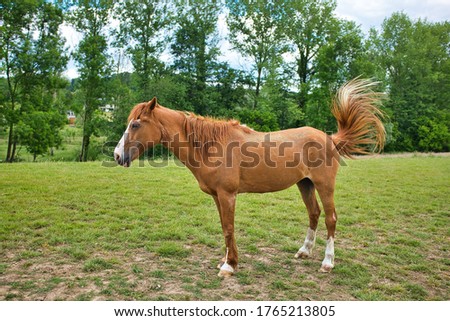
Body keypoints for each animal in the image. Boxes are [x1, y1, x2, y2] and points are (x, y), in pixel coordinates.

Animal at [114, 79, 384, 276]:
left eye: (136, 124)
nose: (117, 155)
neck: (212, 146)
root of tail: (329, 138)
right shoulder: (217, 197)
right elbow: (224, 227)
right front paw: (226, 260)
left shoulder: (228, 196)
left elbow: (229, 228)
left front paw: (229, 266)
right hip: (304, 184)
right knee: (314, 214)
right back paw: (304, 251)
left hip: (324, 185)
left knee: (330, 219)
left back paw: (327, 262)